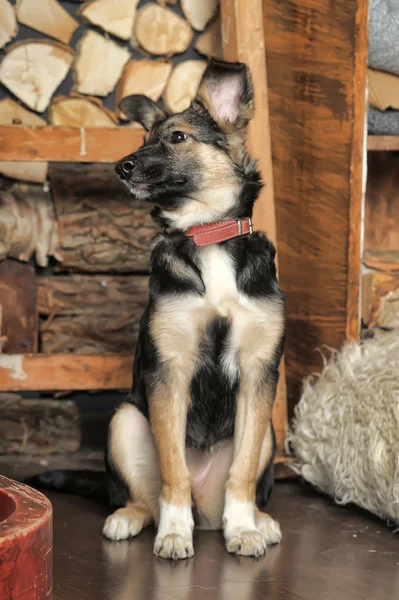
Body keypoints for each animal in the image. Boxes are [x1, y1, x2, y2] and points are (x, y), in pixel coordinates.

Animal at [36, 59, 284, 556]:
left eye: (176, 137)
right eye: (143, 138)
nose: (120, 166)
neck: (207, 235)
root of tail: (206, 512)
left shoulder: (258, 373)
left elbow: (243, 469)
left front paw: (243, 528)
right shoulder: (169, 371)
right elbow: (173, 470)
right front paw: (173, 533)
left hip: (266, 428)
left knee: (242, 479)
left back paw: (256, 520)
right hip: (126, 419)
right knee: (145, 497)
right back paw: (131, 518)